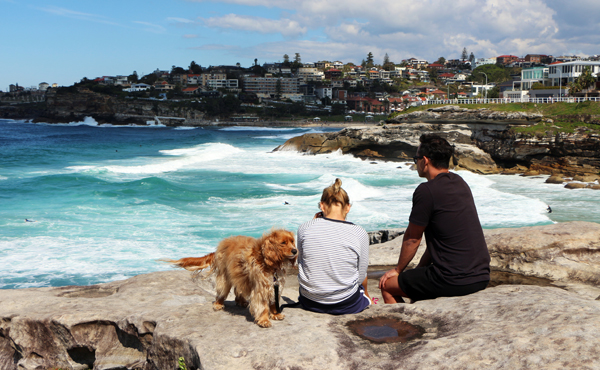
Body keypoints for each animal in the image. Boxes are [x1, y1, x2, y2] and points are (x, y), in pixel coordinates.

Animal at [163, 230, 296, 328]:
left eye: (292, 241)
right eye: (283, 243)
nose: (295, 250)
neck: (269, 262)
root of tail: (221, 245)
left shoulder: (275, 285)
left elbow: (273, 302)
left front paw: (275, 314)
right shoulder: (261, 287)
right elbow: (263, 305)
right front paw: (264, 320)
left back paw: (241, 301)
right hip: (224, 277)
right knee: (221, 292)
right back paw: (218, 304)